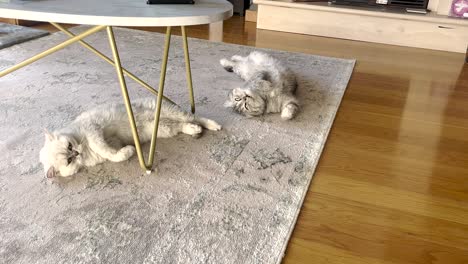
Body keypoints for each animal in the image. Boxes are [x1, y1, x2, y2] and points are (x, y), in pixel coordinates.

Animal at [40, 98, 221, 178]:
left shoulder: (92, 130)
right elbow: (113, 155)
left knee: (197, 118)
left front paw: (128, 151)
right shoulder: (111, 143)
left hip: (172, 113)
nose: (76, 153)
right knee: (184, 125)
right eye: (69, 160)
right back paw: (195, 130)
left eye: (70, 147)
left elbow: (102, 148)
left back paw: (214, 125)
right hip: (164, 128)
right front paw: (127, 152)